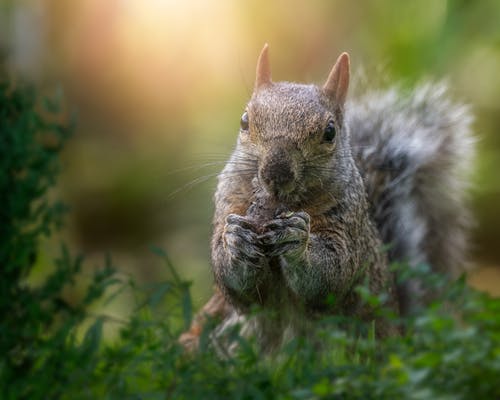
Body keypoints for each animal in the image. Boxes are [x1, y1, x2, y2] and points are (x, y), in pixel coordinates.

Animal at [179, 43, 472, 350]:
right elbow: (237, 286)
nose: (276, 174)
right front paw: (236, 240)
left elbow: (330, 274)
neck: (285, 204)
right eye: (244, 121)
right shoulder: (229, 201)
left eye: (329, 131)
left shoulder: (346, 226)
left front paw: (297, 240)